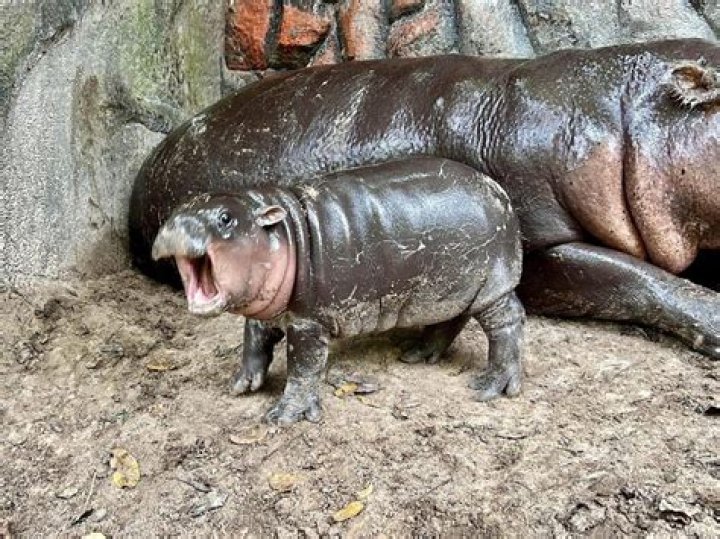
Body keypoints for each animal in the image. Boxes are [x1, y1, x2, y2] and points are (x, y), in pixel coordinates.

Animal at [151, 158, 524, 423]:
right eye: (175, 211)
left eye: (225, 218)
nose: (175, 227)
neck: (285, 232)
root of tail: (499, 190)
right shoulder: (266, 308)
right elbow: (253, 340)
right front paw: (242, 384)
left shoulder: (307, 322)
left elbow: (304, 367)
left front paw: (285, 416)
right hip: (446, 291)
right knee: (451, 319)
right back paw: (417, 353)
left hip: (492, 286)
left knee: (508, 321)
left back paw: (490, 387)